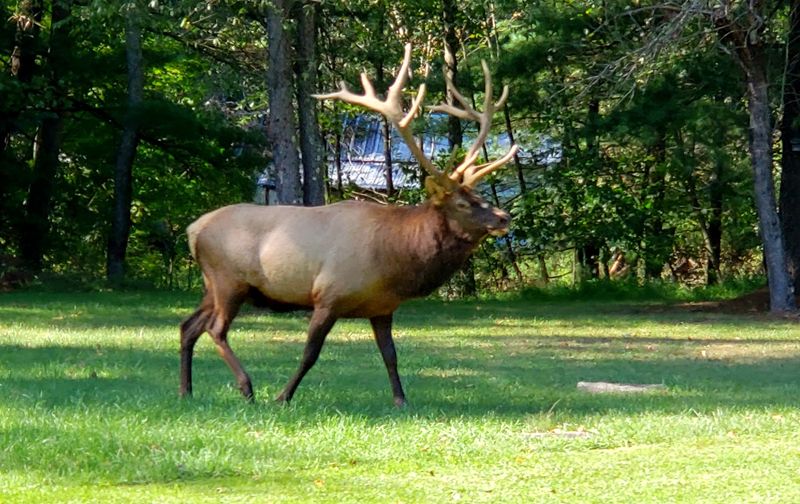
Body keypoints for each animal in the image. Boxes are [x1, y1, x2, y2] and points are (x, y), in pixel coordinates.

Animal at [179, 44, 517, 407]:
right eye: (462, 203)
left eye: (479, 194)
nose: (503, 217)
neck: (395, 259)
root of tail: (193, 229)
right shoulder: (328, 295)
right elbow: (310, 354)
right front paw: (283, 396)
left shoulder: (382, 307)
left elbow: (390, 355)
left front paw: (401, 401)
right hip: (229, 280)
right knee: (216, 329)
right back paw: (246, 387)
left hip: (211, 284)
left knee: (188, 326)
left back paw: (186, 390)